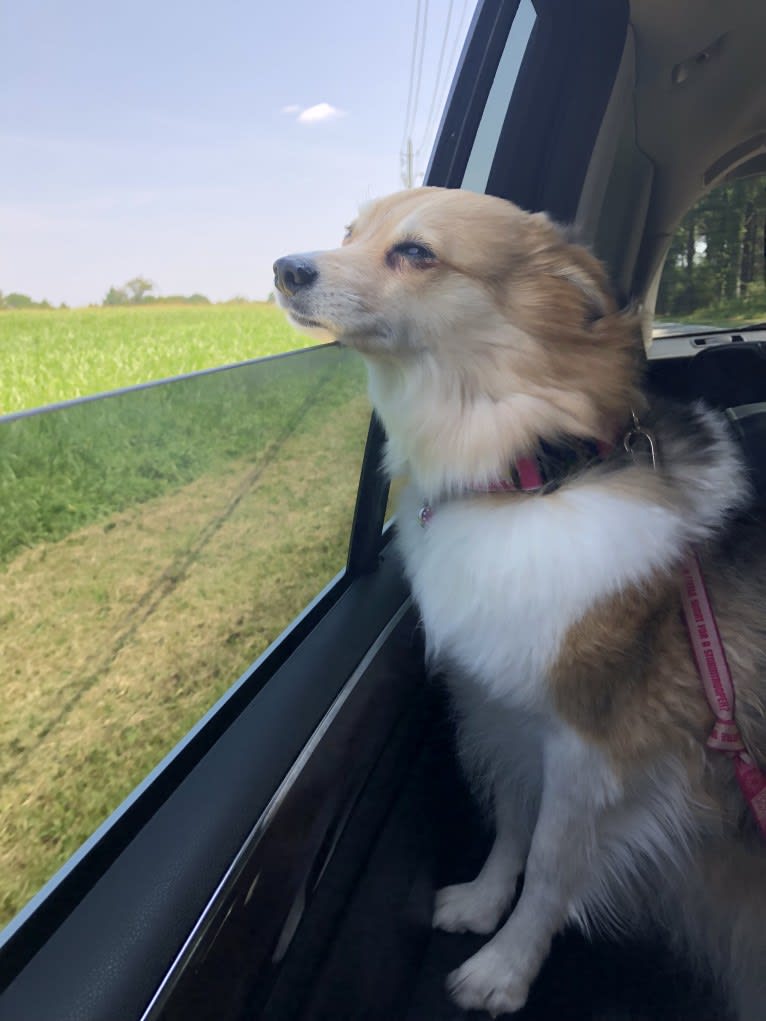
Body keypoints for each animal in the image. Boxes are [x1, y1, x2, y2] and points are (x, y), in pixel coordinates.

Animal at [273, 189, 766, 1012]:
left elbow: (551, 866)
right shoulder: (501, 711)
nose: (285, 268)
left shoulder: (591, 749)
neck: (531, 477)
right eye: (351, 233)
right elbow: (511, 824)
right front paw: (482, 901)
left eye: (416, 253)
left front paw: (505, 968)